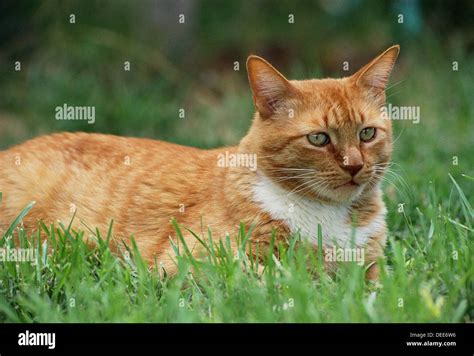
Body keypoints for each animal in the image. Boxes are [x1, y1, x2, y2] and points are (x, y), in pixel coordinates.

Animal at [0, 45, 400, 278]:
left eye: (367, 133)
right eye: (318, 138)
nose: (354, 166)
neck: (328, 217)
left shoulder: (371, 270)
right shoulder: (193, 265)